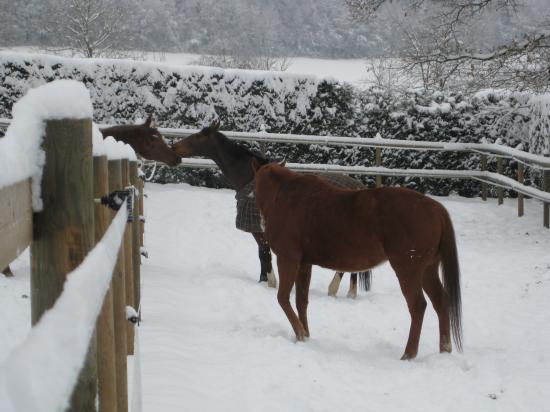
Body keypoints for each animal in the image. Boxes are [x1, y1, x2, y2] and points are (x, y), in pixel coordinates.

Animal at [252, 159, 464, 358]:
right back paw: (444, 349)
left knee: (418, 306)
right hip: (427, 270)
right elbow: (301, 301)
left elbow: (283, 298)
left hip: (408, 270)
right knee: (441, 301)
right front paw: (305, 334)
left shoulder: (288, 259)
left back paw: (409, 354)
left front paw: (300, 333)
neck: (284, 195)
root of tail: (436, 208)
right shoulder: (305, 264)